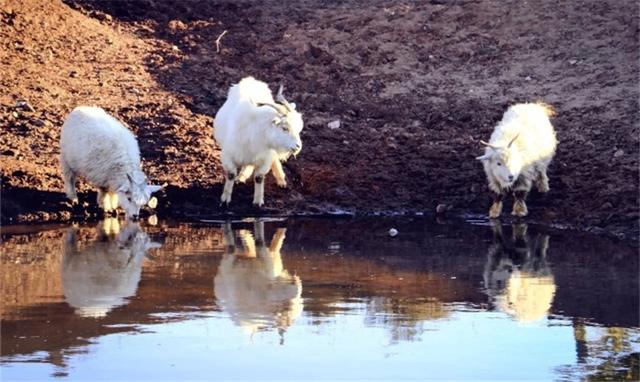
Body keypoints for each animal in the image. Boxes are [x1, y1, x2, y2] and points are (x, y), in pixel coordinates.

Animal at [214, 76, 304, 207]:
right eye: (284, 128)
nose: (298, 146)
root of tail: (251, 80)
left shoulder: (265, 158)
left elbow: (259, 177)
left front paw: (258, 202)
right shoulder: (227, 155)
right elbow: (231, 175)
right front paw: (225, 199)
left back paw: (281, 179)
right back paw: (241, 177)